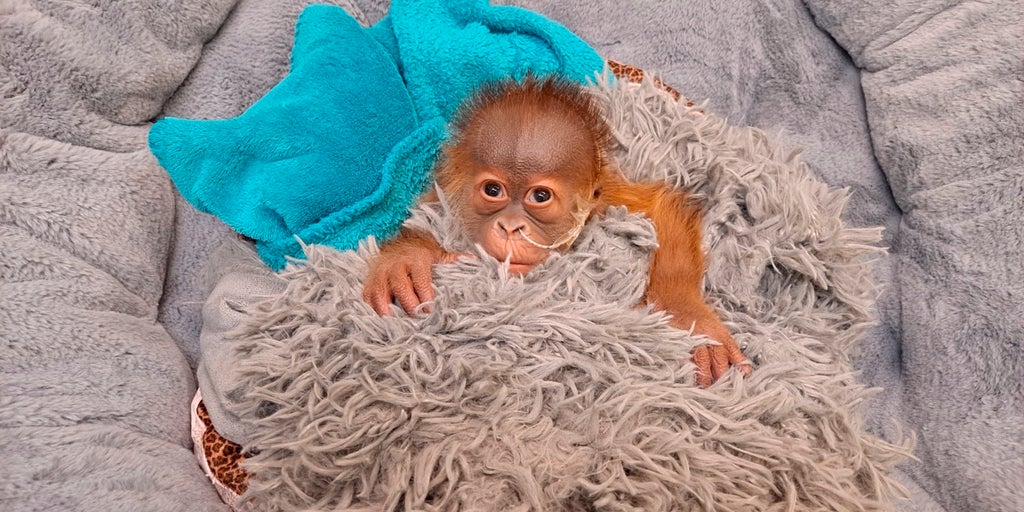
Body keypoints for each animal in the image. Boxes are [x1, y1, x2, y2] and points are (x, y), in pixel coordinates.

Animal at [363, 76, 751, 387]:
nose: (511, 227)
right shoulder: (447, 188)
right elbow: (428, 215)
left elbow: (660, 212)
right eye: (493, 190)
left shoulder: (609, 199)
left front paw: (692, 319)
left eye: (540, 196)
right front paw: (405, 259)